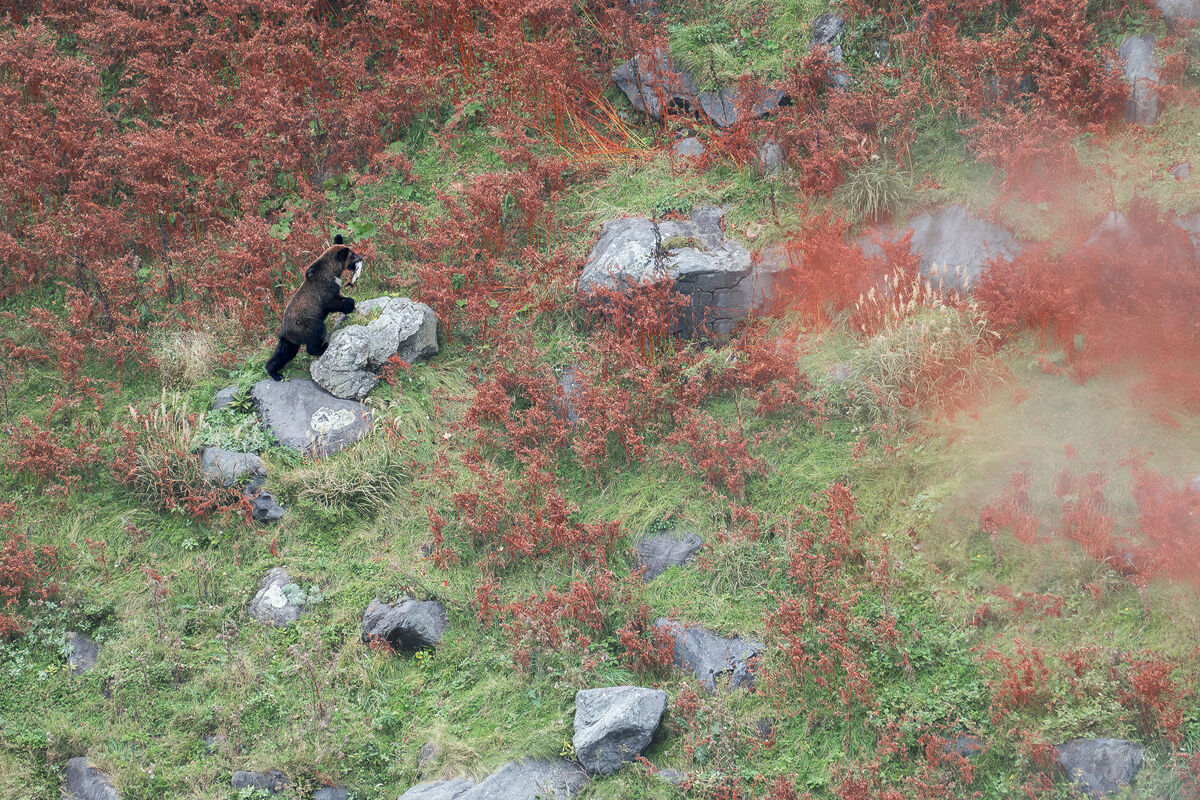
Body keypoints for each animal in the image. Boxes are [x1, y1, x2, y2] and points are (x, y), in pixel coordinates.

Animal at [265, 235, 364, 381]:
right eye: (352, 255)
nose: (361, 256)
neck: (333, 273)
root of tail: (286, 330)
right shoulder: (324, 292)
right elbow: (334, 302)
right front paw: (350, 304)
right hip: (307, 325)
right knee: (316, 333)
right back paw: (321, 347)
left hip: (290, 340)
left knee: (284, 353)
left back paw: (274, 372)